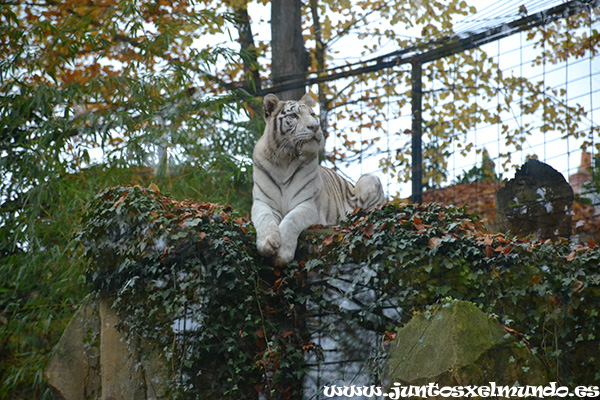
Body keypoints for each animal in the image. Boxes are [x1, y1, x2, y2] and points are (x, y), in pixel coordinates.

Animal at [252, 93, 384, 266]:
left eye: (312, 114)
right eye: (294, 116)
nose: (315, 127)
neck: (285, 159)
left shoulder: (308, 205)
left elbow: (291, 220)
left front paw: (281, 254)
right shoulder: (262, 202)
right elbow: (265, 219)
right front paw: (267, 243)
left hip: (369, 179)